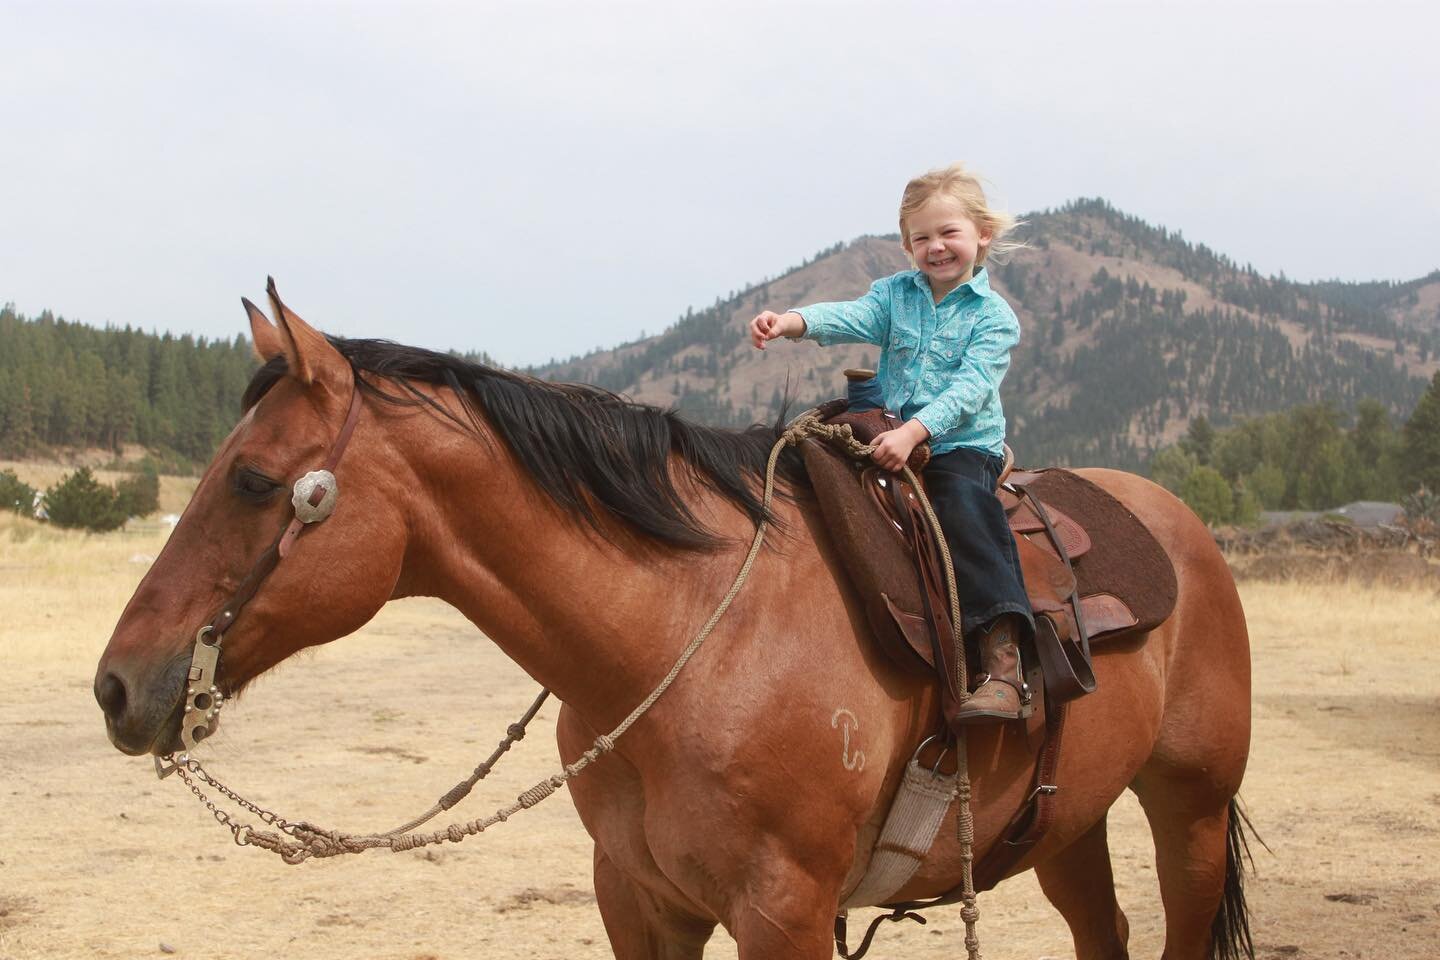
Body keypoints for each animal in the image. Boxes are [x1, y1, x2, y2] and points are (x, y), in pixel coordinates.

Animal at [95, 287, 1255, 960]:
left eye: (253, 480)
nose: (117, 686)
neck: (689, 640)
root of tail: (1177, 526)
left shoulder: (785, 914)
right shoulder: (638, 902)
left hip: (1190, 809)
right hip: (1071, 821)